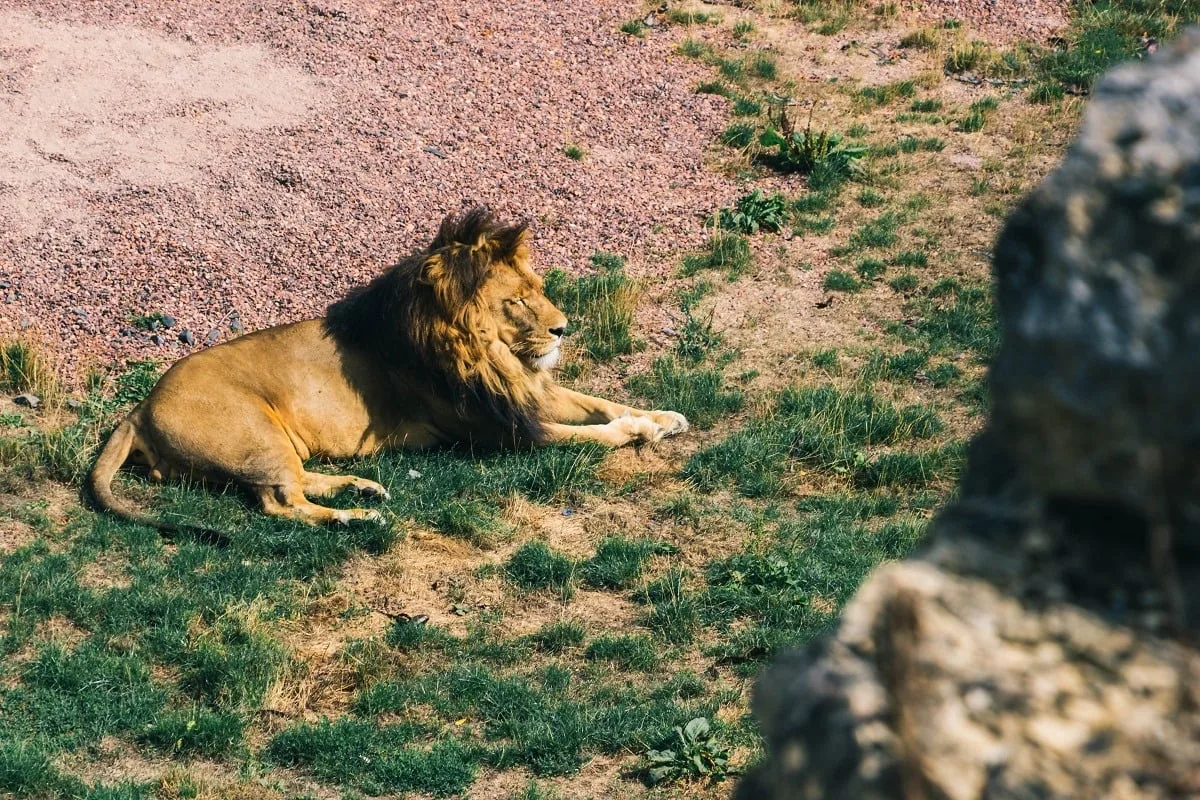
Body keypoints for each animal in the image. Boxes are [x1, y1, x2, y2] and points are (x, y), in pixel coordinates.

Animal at [88, 208, 689, 530]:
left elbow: (601, 401)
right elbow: (591, 434)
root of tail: (140, 406)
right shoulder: (501, 432)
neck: (488, 357)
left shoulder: (523, 395)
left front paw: (664, 417)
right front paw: (637, 429)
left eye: (538, 289)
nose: (564, 328)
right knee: (279, 502)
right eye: (517, 301)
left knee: (297, 482)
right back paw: (353, 518)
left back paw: (361, 489)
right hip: (255, 433)